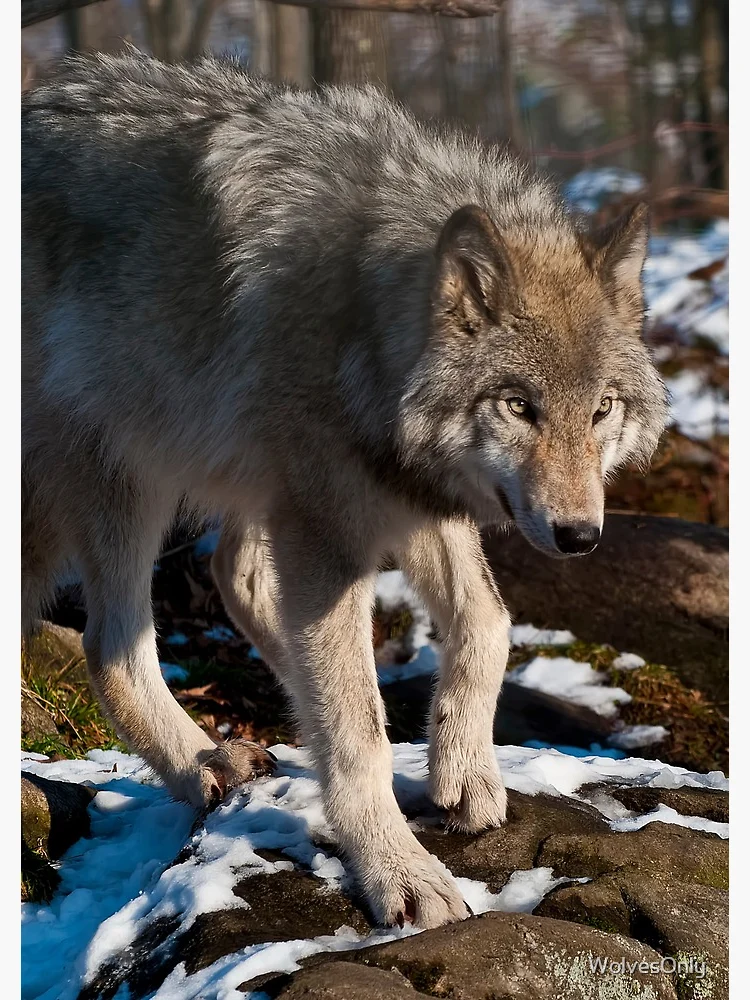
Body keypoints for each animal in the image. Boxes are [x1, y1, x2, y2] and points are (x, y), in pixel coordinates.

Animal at [22, 51, 668, 929]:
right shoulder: (330, 526)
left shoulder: (408, 496)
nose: (579, 536)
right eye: (518, 406)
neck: (360, 319)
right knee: (111, 647)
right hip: (124, 470)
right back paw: (202, 765)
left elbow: (488, 623)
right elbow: (357, 730)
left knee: (235, 578)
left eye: (601, 409)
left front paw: (463, 767)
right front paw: (399, 871)